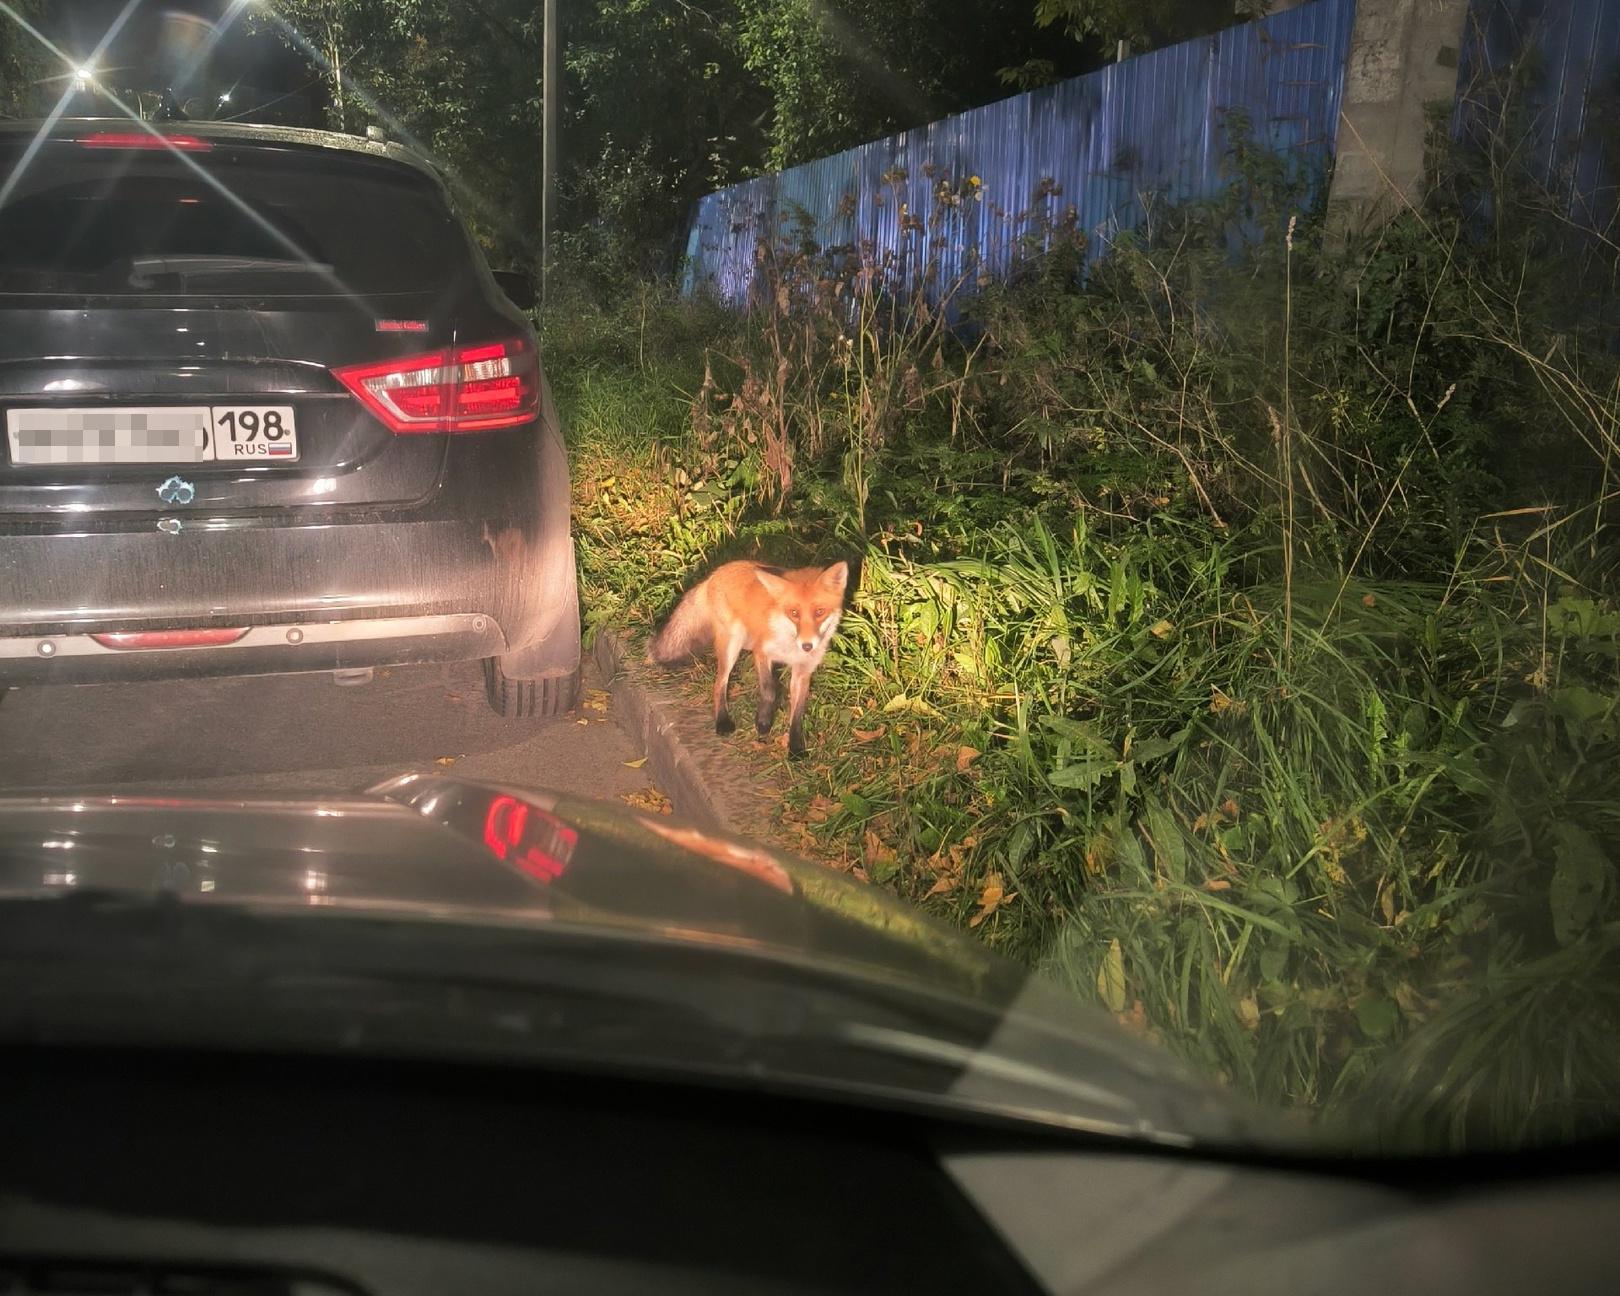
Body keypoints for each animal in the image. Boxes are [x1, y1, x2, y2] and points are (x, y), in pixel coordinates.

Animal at [644, 560, 848, 758]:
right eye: (794, 613)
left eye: (820, 611)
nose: (807, 646)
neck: (789, 645)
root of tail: (715, 573)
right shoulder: (762, 652)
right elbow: (769, 689)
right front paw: (763, 722)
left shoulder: (803, 671)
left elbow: (797, 713)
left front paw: (795, 748)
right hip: (732, 643)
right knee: (719, 683)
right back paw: (722, 721)